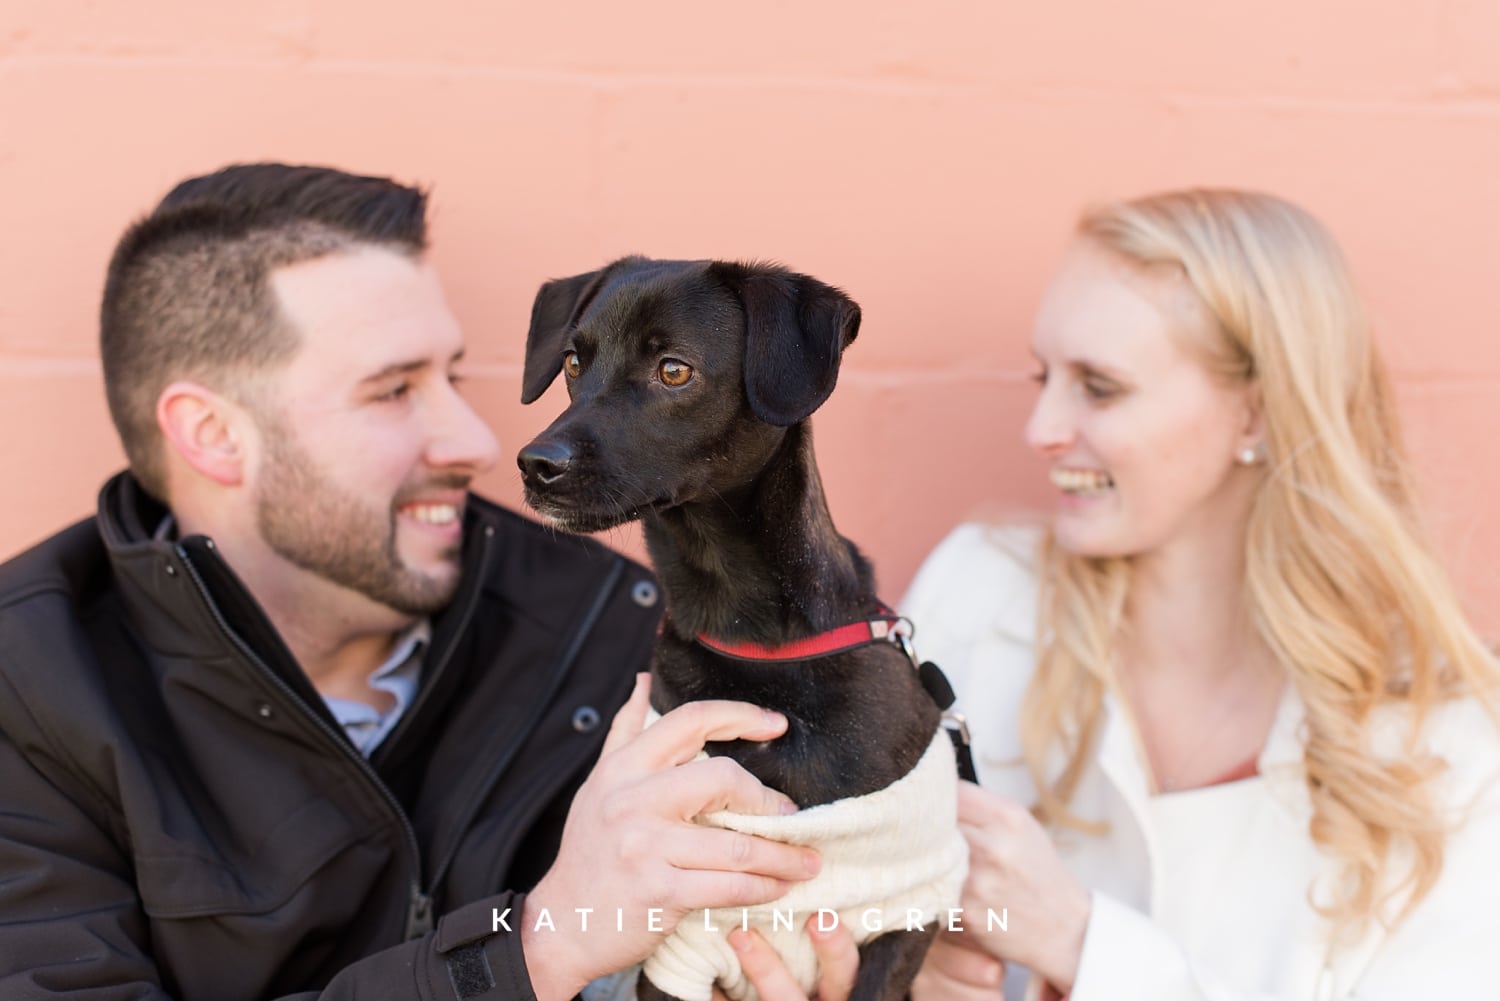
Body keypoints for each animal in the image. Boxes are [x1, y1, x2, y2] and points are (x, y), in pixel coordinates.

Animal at [516, 256, 960, 1001]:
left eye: (673, 370)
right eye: (575, 362)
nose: (535, 463)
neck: (753, 632)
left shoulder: (909, 910)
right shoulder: (680, 951)